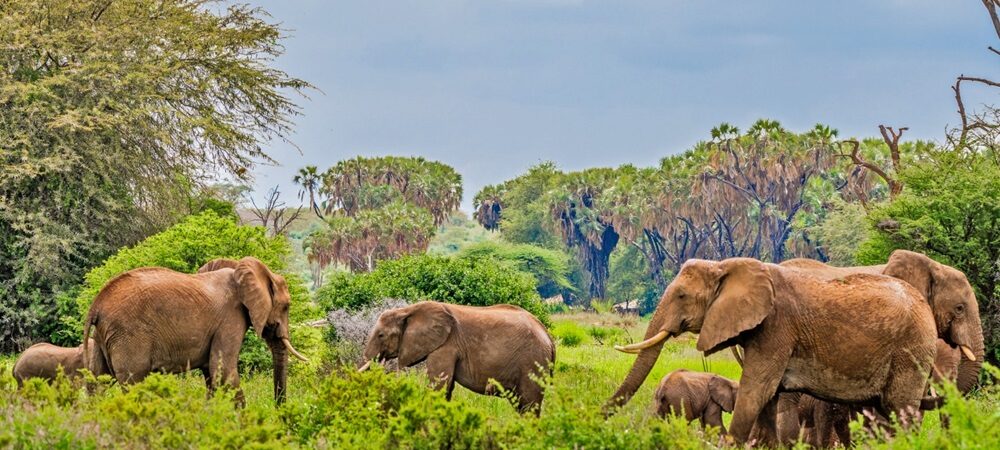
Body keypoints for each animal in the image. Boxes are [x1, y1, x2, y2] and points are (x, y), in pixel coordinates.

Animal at [82, 256, 308, 405]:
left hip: (103, 337)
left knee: (97, 383)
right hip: (128, 335)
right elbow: (223, 371)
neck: (239, 269)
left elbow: (212, 374)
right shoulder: (230, 319)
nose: (279, 411)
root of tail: (96, 305)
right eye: (286, 306)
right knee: (133, 384)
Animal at [359, 301, 555, 414]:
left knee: (529, 405)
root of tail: (549, 336)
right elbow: (446, 387)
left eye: (381, 335)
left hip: (532, 361)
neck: (407, 310)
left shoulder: (446, 345)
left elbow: (439, 385)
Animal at [605, 257, 938, 444]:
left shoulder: (777, 328)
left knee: (901, 410)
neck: (726, 266)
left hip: (911, 350)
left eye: (682, 295)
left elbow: (757, 390)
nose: (600, 415)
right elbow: (768, 397)